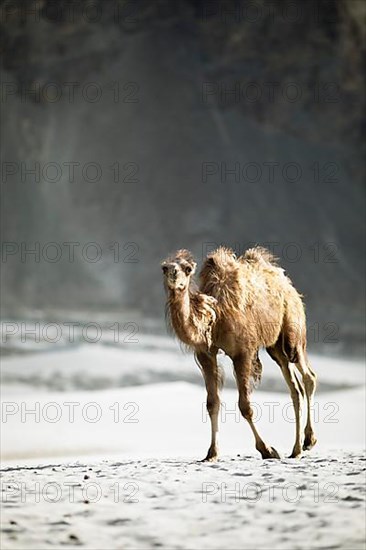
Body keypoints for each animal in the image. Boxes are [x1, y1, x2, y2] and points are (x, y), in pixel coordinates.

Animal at [162, 248, 316, 464]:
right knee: (295, 388)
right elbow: (212, 403)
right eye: (164, 268)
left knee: (308, 376)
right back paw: (296, 449)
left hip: (293, 333)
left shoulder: (243, 352)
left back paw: (309, 441)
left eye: (188, 268)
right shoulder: (205, 354)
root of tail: (287, 283)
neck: (215, 317)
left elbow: (245, 406)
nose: (173, 274)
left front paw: (267, 450)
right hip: (276, 348)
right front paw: (212, 453)